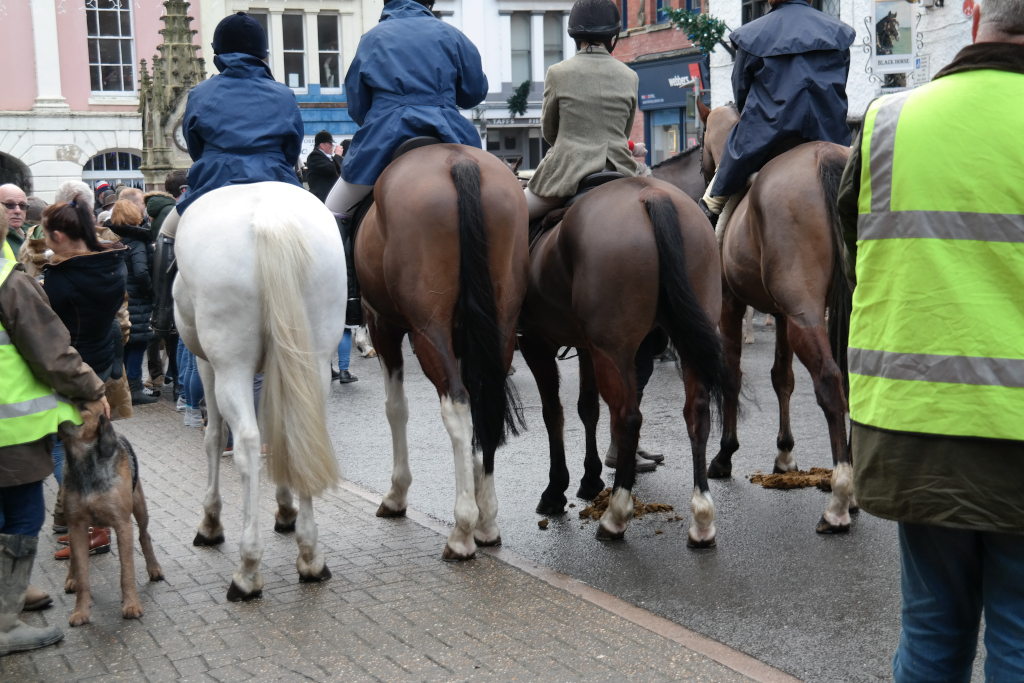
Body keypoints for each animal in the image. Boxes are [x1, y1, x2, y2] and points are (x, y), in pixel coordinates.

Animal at [58, 403, 163, 626]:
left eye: (82, 406)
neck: (85, 464)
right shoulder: (77, 526)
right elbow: (83, 576)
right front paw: (80, 611)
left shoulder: (123, 525)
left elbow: (127, 572)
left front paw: (131, 605)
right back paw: (71, 577)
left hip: (139, 506)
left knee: (144, 535)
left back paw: (154, 568)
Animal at [173, 184, 348, 602]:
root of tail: (271, 214)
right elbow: (279, 433)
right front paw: (285, 510)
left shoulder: (206, 364)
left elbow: (214, 436)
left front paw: (210, 522)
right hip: (315, 360)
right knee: (300, 434)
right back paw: (310, 556)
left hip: (230, 366)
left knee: (247, 443)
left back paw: (248, 569)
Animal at [356, 144, 528, 561]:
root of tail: (458, 160)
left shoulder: (382, 324)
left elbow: (395, 408)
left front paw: (397, 494)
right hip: (501, 324)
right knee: (486, 400)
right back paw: (486, 522)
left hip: (427, 331)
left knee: (458, 403)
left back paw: (462, 530)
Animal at [520, 179, 729, 548]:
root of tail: (650, 193)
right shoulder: (586, 347)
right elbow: (587, 408)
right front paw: (590, 480)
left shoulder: (537, 344)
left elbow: (553, 413)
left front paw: (556, 489)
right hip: (685, 337)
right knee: (697, 413)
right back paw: (702, 517)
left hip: (614, 351)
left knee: (627, 418)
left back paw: (615, 516)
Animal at [696, 100, 856, 532]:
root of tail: (825, 156)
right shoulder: (783, 316)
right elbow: (782, 378)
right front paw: (784, 454)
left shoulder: (730, 305)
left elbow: (732, 375)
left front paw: (725, 454)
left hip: (805, 314)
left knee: (830, 380)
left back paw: (840, 497)